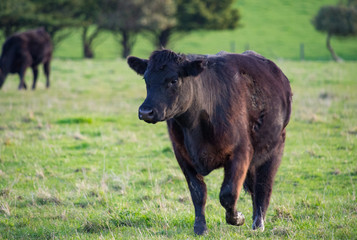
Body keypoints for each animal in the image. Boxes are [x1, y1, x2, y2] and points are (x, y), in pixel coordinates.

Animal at [126, 48, 290, 234]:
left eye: (174, 80)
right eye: (146, 79)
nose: (145, 112)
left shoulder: (241, 152)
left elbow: (228, 194)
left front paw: (237, 218)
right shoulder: (182, 155)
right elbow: (198, 192)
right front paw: (200, 227)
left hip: (274, 148)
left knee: (263, 186)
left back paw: (258, 224)